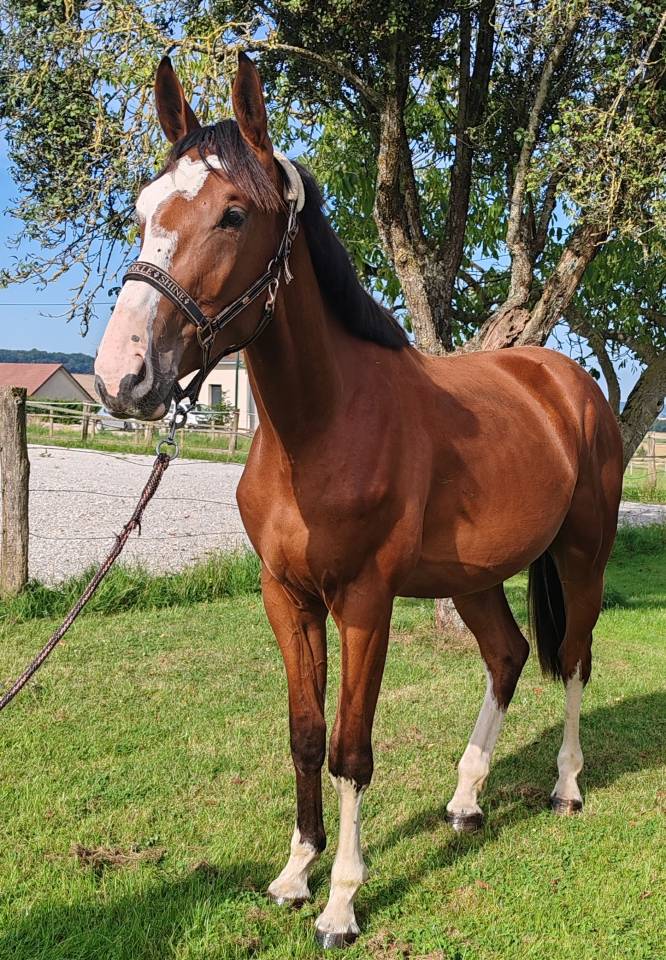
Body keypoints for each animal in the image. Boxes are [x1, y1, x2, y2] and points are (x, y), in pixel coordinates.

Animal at [94, 52, 623, 949]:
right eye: (142, 207)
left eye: (233, 213)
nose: (123, 377)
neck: (324, 426)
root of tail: (569, 381)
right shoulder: (288, 598)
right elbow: (307, 738)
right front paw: (294, 874)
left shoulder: (365, 605)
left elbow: (351, 750)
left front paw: (341, 902)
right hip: (473, 577)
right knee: (509, 654)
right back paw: (466, 800)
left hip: (583, 556)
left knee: (576, 657)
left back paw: (566, 788)